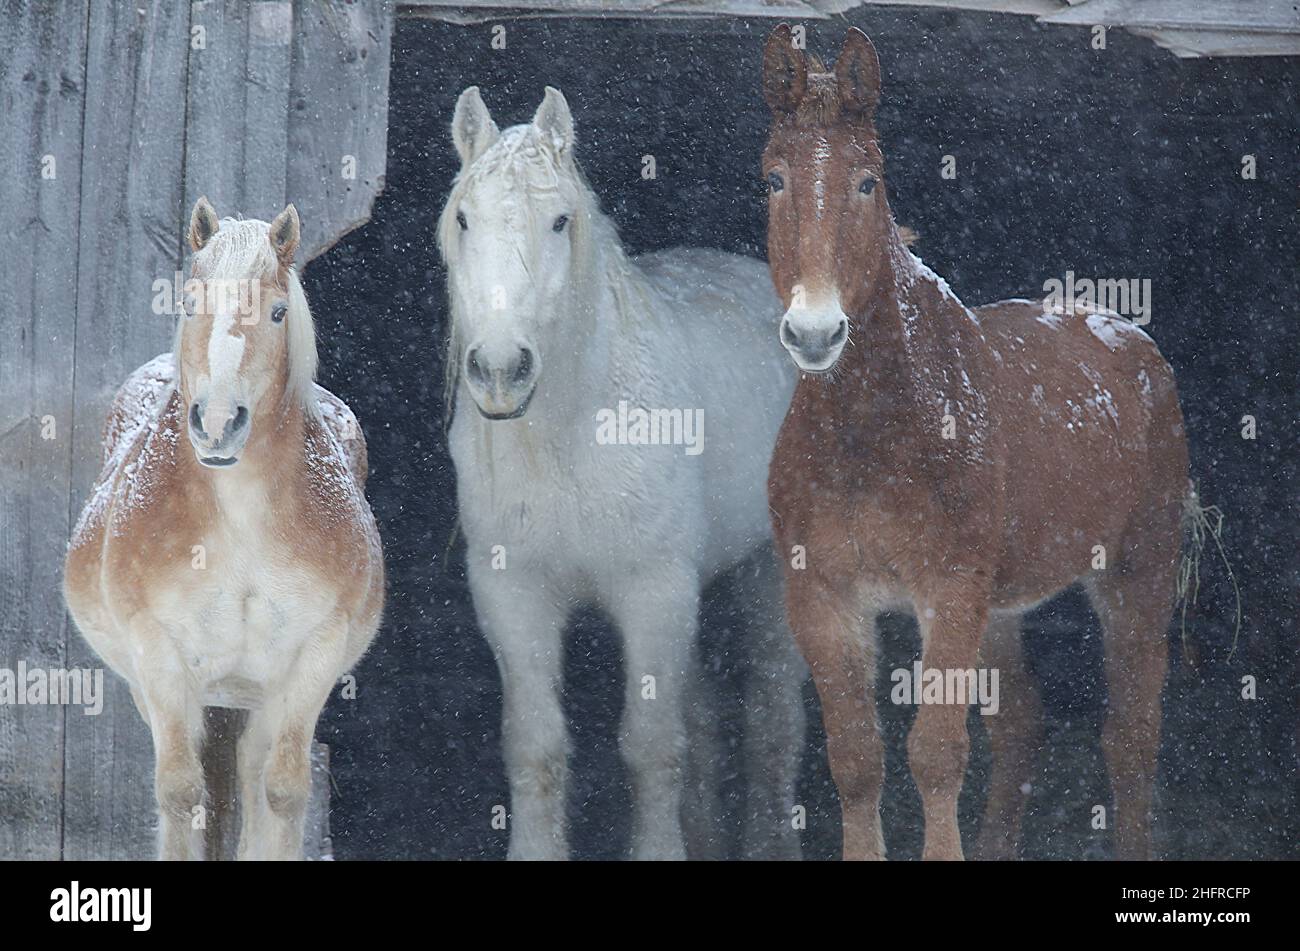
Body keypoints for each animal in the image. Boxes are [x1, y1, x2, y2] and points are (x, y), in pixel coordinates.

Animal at [64, 199, 385, 860]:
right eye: (189, 302)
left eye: (278, 311)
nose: (215, 423)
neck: (239, 520)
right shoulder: (159, 655)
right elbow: (182, 794)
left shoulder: (312, 657)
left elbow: (282, 795)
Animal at [438, 85, 806, 860]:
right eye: (463, 218)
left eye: (559, 220)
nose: (500, 371)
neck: (571, 436)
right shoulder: (513, 595)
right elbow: (538, 747)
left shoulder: (652, 593)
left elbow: (651, 746)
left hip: (771, 573)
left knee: (773, 718)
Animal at [760, 26, 1189, 860]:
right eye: (773, 179)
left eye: (868, 182)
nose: (815, 332)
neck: (871, 430)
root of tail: (1132, 341)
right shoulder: (822, 596)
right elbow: (856, 760)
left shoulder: (949, 589)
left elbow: (934, 754)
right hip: (1002, 609)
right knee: (1021, 726)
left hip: (1137, 573)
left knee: (1132, 735)